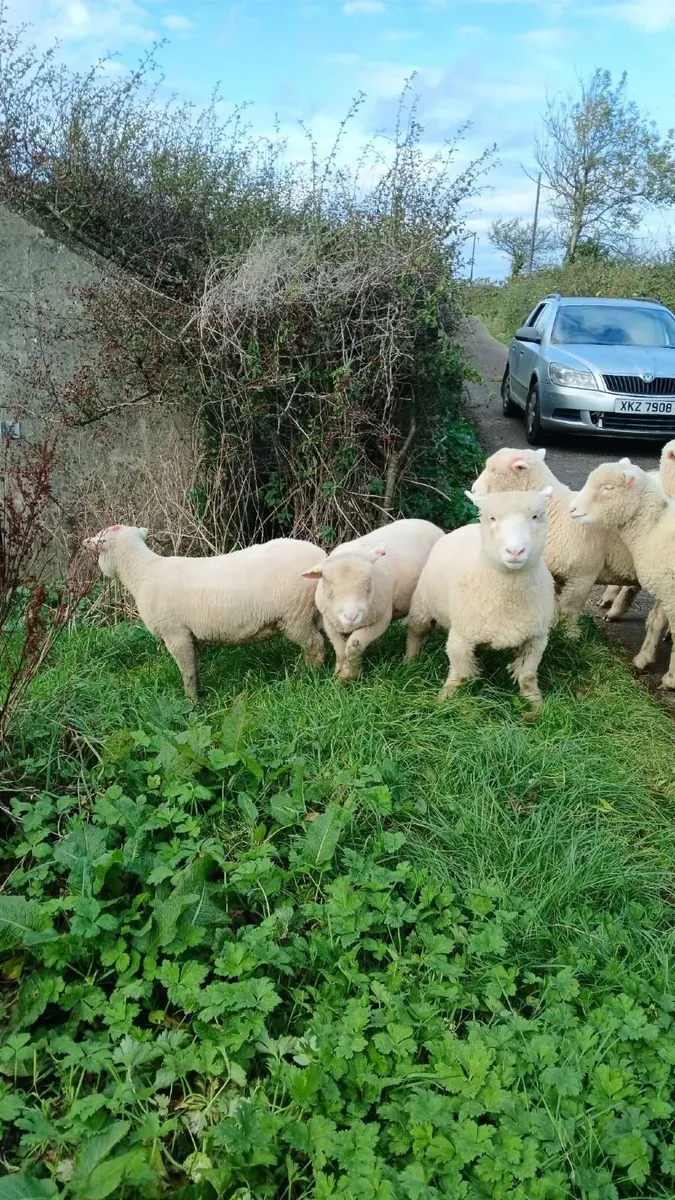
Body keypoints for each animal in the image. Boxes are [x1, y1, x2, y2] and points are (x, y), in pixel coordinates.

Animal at [83, 524, 327, 698]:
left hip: (296, 615)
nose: (85, 542)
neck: (142, 573)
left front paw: (192, 702)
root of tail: (322, 558)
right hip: (316, 611)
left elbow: (187, 672)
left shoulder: (175, 633)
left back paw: (307, 676)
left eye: (99, 539)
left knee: (315, 645)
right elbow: (194, 667)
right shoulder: (190, 636)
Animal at [301, 519, 444, 680]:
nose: (351, 617)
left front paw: (349, 675)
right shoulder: (331, 624)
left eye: (369, 585)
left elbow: (353, 647)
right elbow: (341, 653)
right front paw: (338, 676)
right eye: (329, 586)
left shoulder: (380, 621)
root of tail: (427, 522)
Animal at [405, 489, 555, 709]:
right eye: (492, 518)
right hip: (422, 606)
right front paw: (443, 701)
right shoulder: (461, 637)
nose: (515, 551)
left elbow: (527, 676)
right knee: (415, 633)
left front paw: (537, 704)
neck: (507, 601)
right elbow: (461, 675)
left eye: (536, 516)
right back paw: (409, 662)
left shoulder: (537, 638)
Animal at [471, 447, 637, 636]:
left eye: (495, 471)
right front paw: (553, 629)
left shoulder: (583, 575)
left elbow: (569, 608)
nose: (473, 490)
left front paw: (571, 635)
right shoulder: (557, 574)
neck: (556, 511)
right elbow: (555, 607)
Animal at [569, 463, 675, 689]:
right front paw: (644, 659)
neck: (654, 528)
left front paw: (670, 679)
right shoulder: (666, 589)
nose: (572, 509)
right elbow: (656, 622)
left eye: (608, 488)